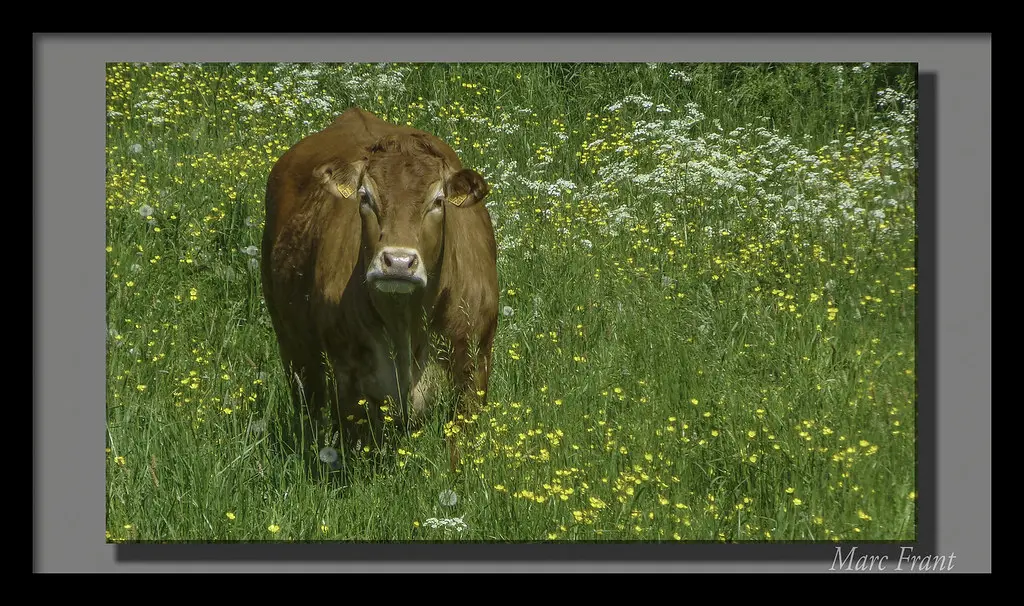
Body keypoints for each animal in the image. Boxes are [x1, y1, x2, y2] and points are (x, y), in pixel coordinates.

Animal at [260, 107, 499, 474]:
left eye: (438, 200)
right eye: (365, 197)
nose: (398, 262)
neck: (406, 325)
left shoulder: (475, 362)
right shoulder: (347, 374)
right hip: (293, 346)